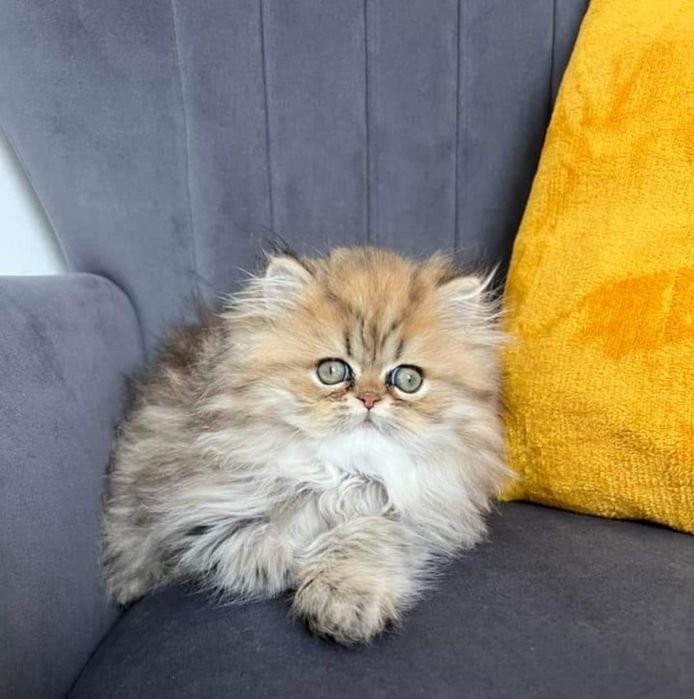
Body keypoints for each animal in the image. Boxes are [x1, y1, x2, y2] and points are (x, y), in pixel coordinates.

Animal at [101, 246, 510, 645]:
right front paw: (289, 558)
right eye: (332, 372)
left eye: (408, 380)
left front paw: (342, 598)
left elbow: (363, 535)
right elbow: (261, 542)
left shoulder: (418, 514)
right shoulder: (194, 515)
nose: (369, 399)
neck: (344, 473)